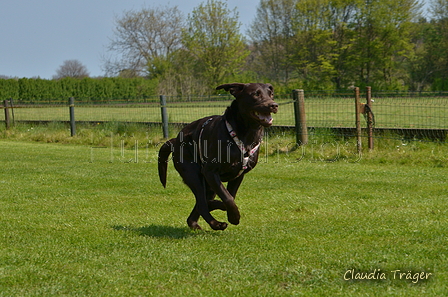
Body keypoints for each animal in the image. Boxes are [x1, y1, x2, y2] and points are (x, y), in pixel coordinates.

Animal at [157, 82, 276, 230]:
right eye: (256, 94)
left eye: (271, 94)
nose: (274, 105)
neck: (245, 135)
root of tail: (175, 140)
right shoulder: (210, 172)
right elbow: (228, 199)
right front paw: (234, 217)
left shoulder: (238, 175)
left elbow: (230, 197)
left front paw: (229, 212)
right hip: (194, 174)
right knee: (202, 204)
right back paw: (216, 223)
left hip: (207, 185)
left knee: (200, 205)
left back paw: (199, 223)